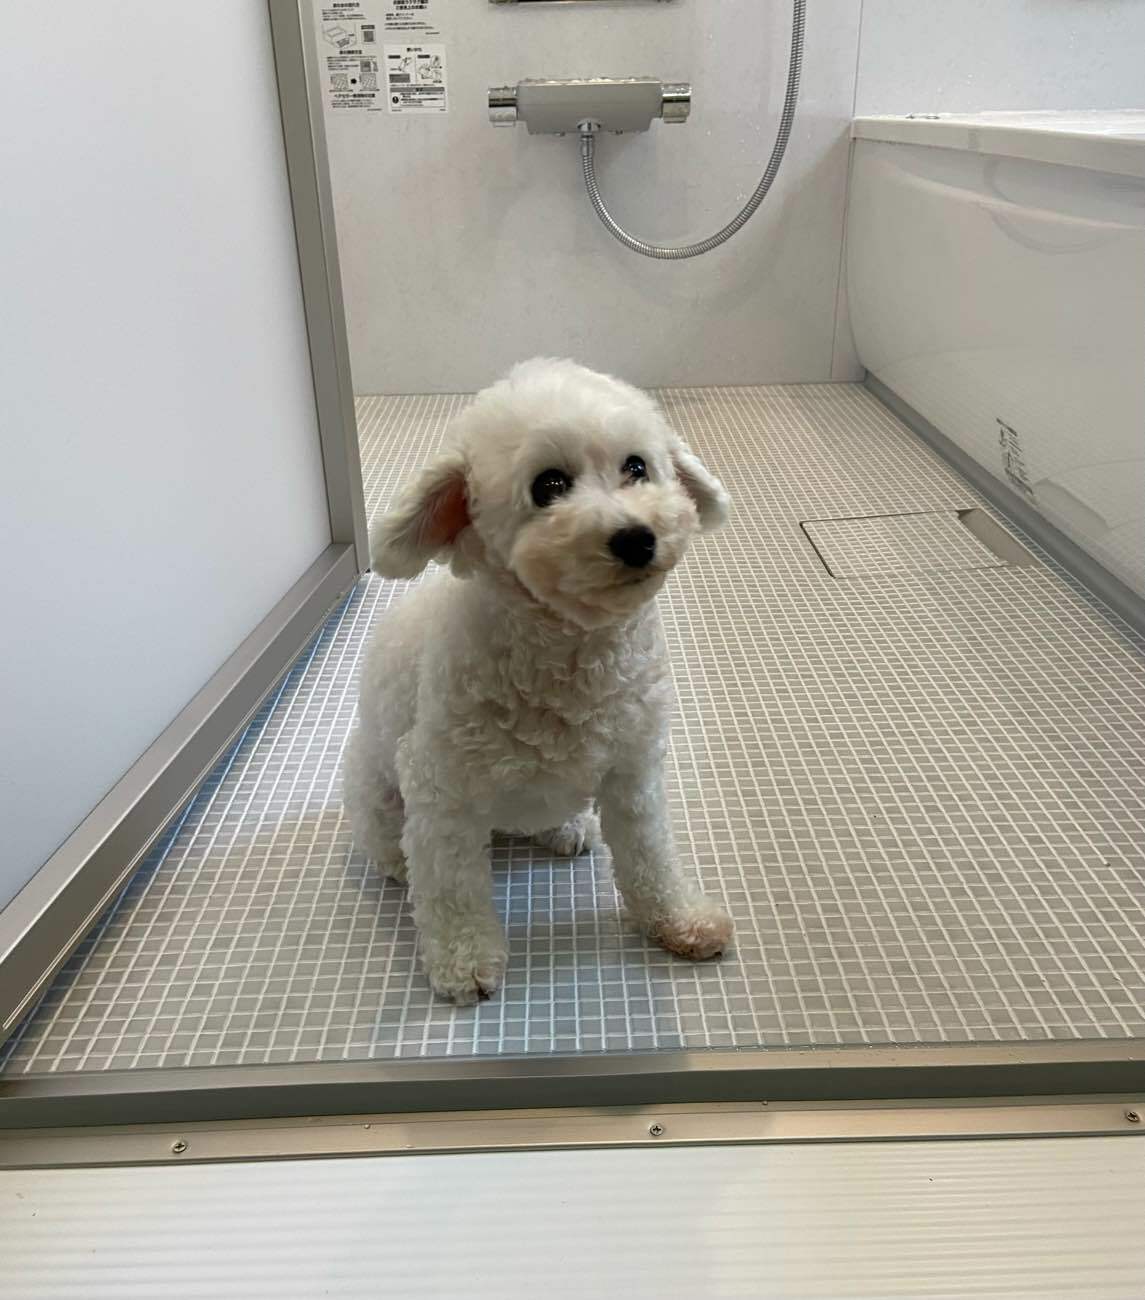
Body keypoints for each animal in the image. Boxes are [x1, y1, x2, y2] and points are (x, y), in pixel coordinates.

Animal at [343, 358, 734, 1003]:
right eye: (549, 485)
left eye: (637, 467)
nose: (637, 537)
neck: (572, 656)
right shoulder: (440, 792)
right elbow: (451, 890)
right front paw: (464, 962)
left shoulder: (634, 773)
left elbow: (651, 859)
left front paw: (679, 922)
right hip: (374, 784)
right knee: (389, 840)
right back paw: (396, 862)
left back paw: (566, 827)